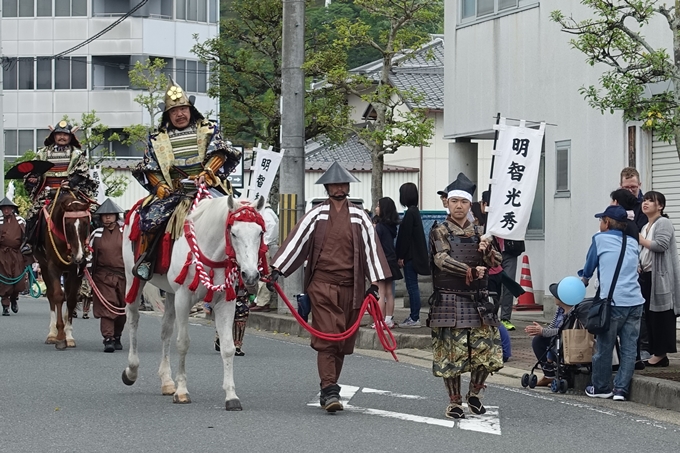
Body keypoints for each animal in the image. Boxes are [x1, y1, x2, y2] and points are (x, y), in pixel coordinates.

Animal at [33, 187, 93, 350]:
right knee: (51, 296)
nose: (79, 256)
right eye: (68, 225)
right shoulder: (52, 267)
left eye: (86, 223)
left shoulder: (76, 271)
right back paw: (52, 334)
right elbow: (58, 296)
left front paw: (68, 335)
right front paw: (60, 336)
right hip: (44, 267)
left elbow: (71, 299)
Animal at [121, 193, 264, 410]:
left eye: (260, 233)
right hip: (133, 278)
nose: (251, 275)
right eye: (234, 233)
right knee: (133, 319)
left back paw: (166, 381)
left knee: (165, 330)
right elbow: (183, 343)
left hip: (169, 292)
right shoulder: (183, 298)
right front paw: (182, 391)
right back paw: (131, 371)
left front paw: (231, 396)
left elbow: (228, 347)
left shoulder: (225, 302)